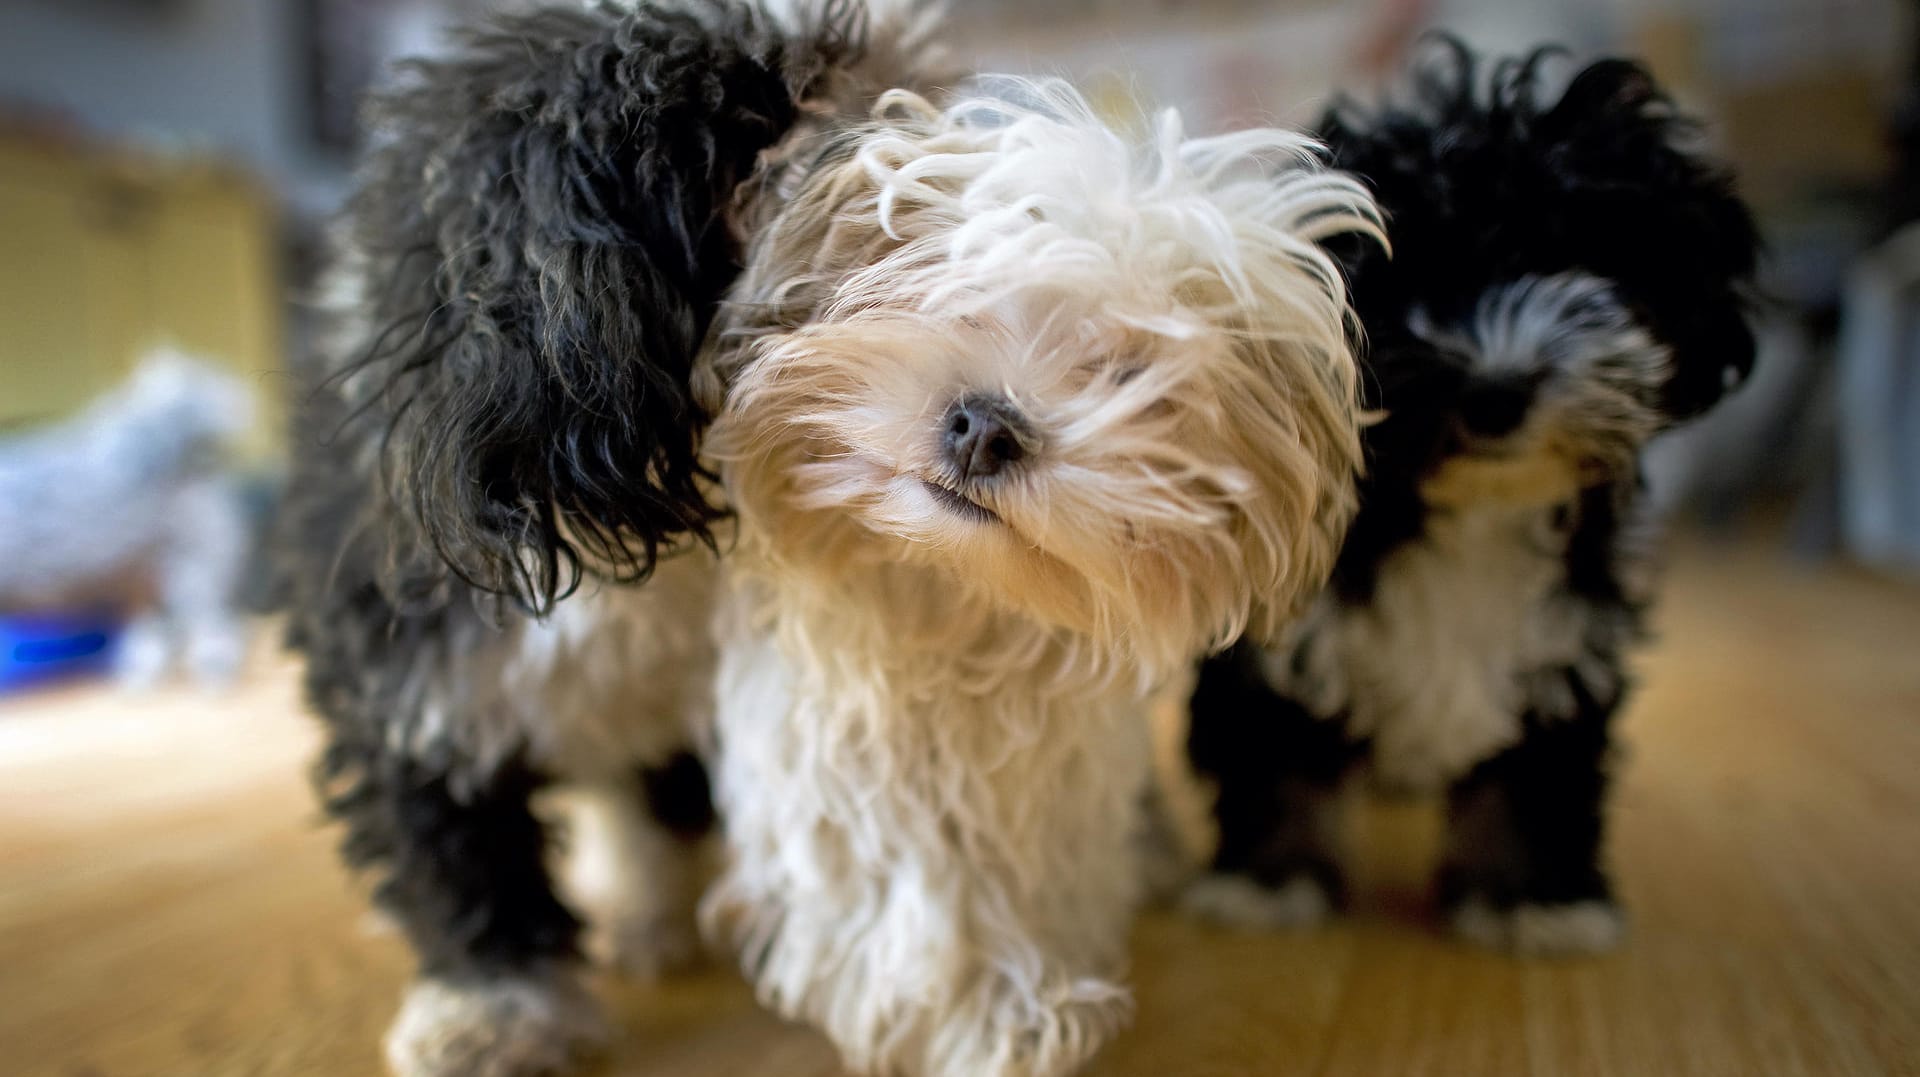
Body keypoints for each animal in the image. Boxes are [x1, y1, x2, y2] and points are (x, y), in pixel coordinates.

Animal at [0, 353, 253, 687]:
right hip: (155, 584)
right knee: (166, 631)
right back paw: (141, 674)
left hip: (192, 576)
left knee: (215, 627)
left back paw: (212, 672)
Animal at [1182, 39, 1766, 948]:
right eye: (1404, 279)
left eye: (1576, 254)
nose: (1497, 389)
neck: (1470, 513)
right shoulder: (1278, 639)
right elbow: (1273, 747)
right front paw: (1269, 880)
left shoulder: (1569, 637)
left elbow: (1536, 771)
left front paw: (1528, 896)